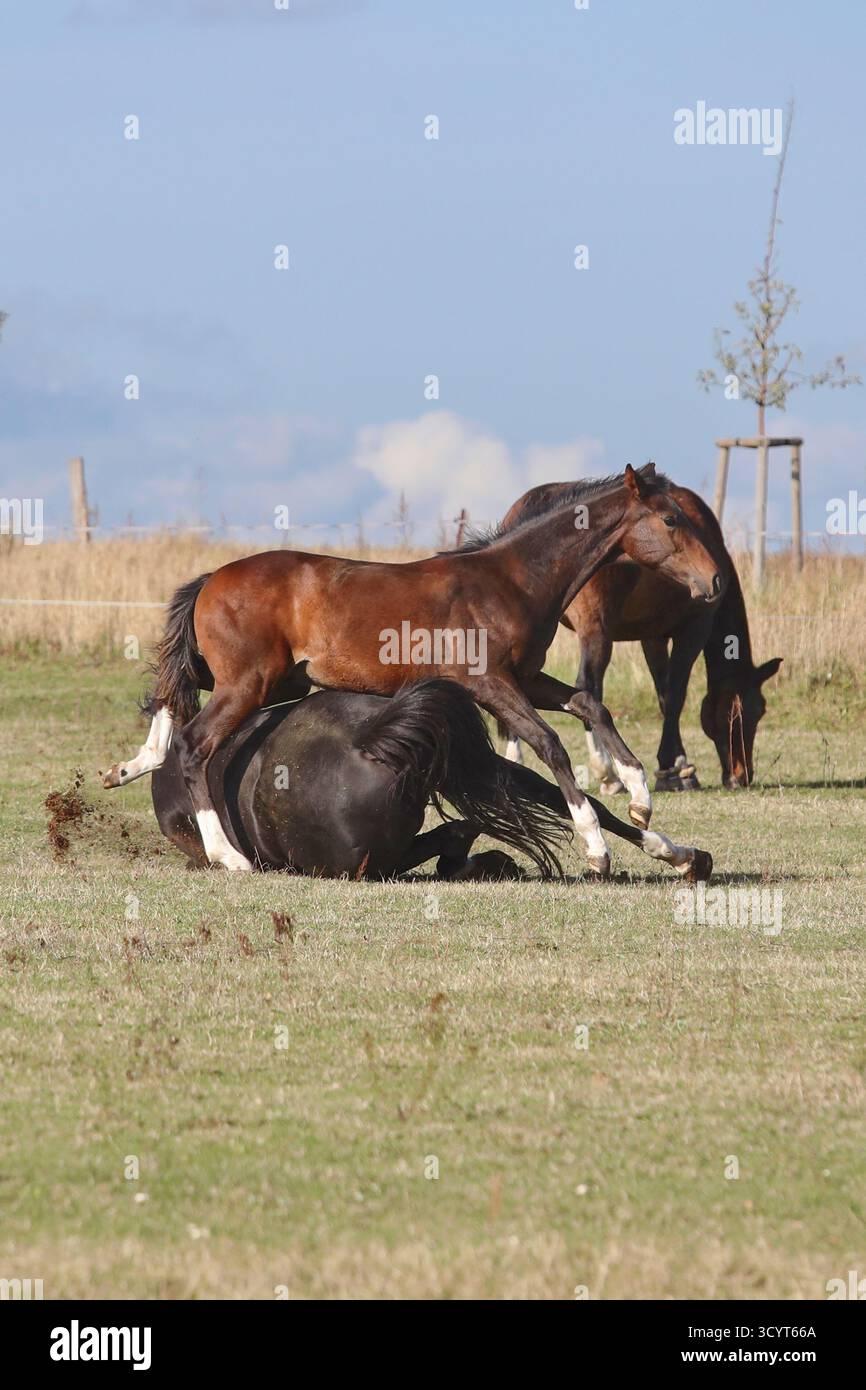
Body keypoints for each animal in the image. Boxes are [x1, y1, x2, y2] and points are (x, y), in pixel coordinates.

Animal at [496, 479, 781, 789]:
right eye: (753, 711)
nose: (742, 776)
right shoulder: (694, 629)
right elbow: (675, 694)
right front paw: (675, 768)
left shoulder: (652, 638)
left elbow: (663, 693)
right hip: (596, 630)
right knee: (588, 684)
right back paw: (606, 770)